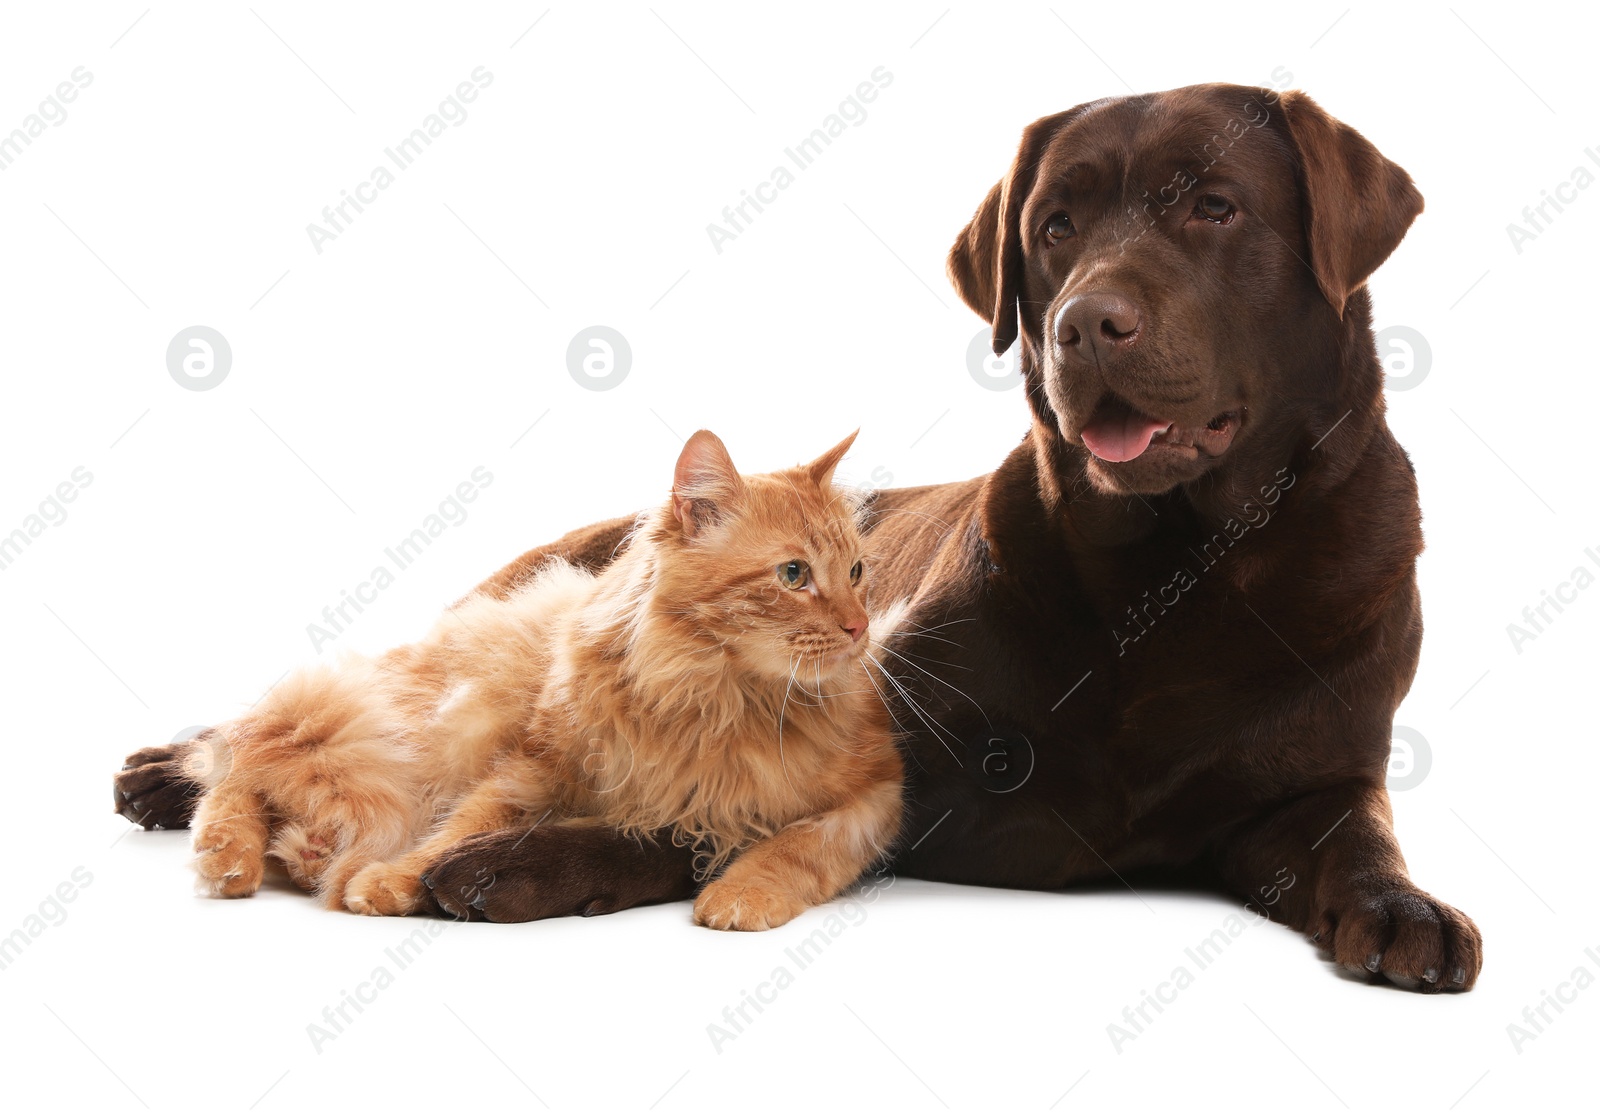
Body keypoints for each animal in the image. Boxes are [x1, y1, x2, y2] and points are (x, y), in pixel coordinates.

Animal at [183, 432, 908, 934]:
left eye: (857, 571)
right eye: (793, 575)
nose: (857, 627)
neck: (717, 698)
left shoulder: (876, 793)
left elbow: (797, 846)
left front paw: (741, 892)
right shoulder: (532, 764)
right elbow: (463, 825)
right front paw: (394, 878)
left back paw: (295, 852)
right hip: (416, 734)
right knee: (242, 753)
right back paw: (227, 856)